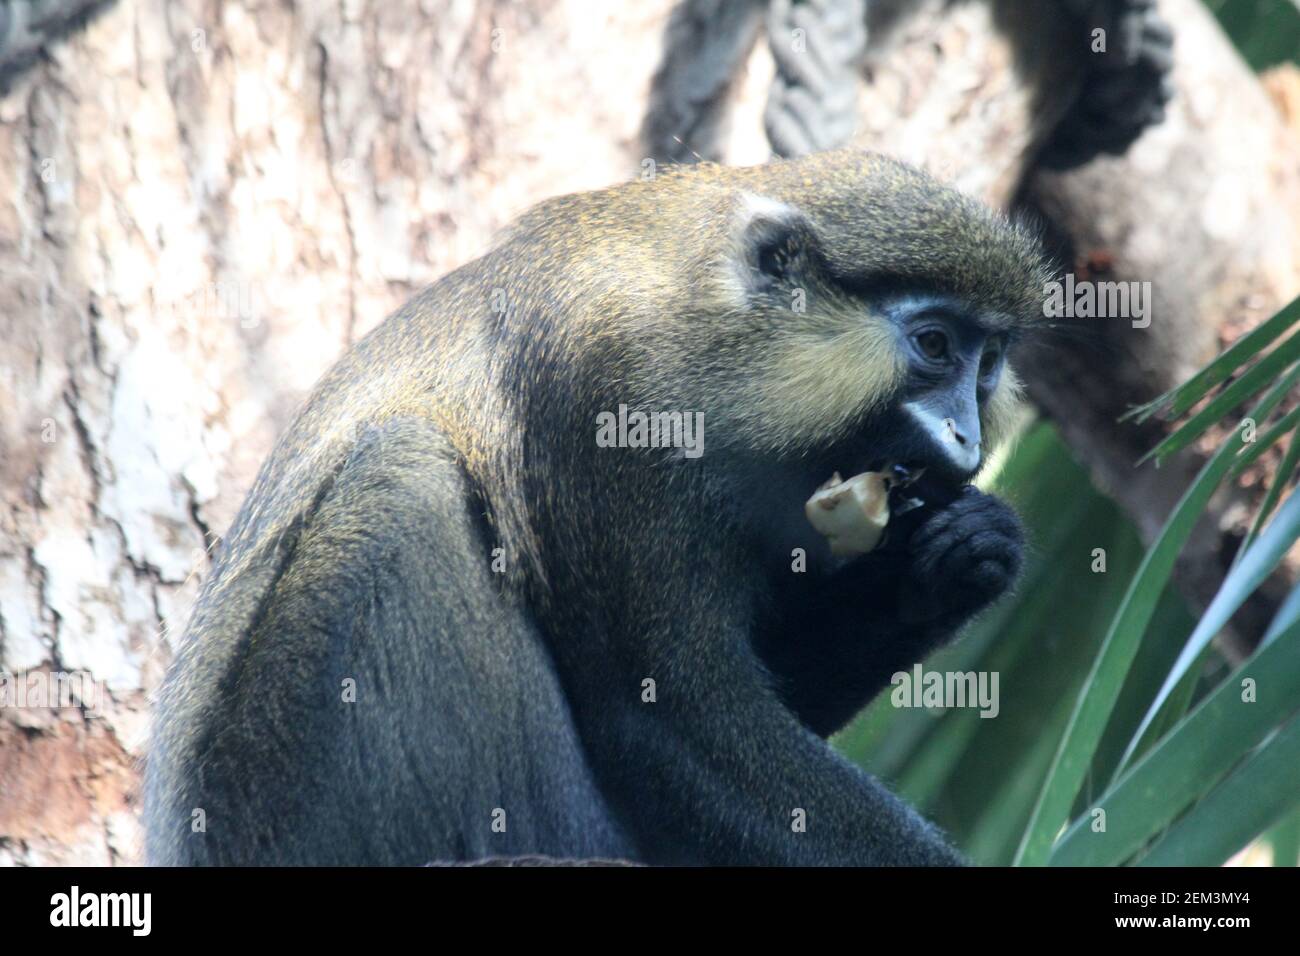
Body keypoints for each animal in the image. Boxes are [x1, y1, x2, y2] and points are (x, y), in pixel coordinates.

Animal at [144, 147, 1055, 868]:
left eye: (987, 363)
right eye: (934, 345)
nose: (966, 438)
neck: (710, 336)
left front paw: (965, 554)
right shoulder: (607, 386)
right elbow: (670, 722)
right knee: (406, 483)